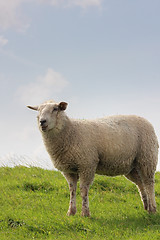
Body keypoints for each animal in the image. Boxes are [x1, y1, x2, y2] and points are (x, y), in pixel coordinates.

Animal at [27, 100, 159, 217]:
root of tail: (146, 120)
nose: (42, 121)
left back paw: (152, 209)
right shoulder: (69, 170)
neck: (71, 131)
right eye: (38, 110)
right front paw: (71, 212)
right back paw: (146, 206)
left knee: (149, 183)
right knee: (140, 184)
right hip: (131, 166)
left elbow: (83, 189)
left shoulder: (87, 165)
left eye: (55, 109)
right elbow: (72, 190)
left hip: (147, 158)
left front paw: (85, 213)